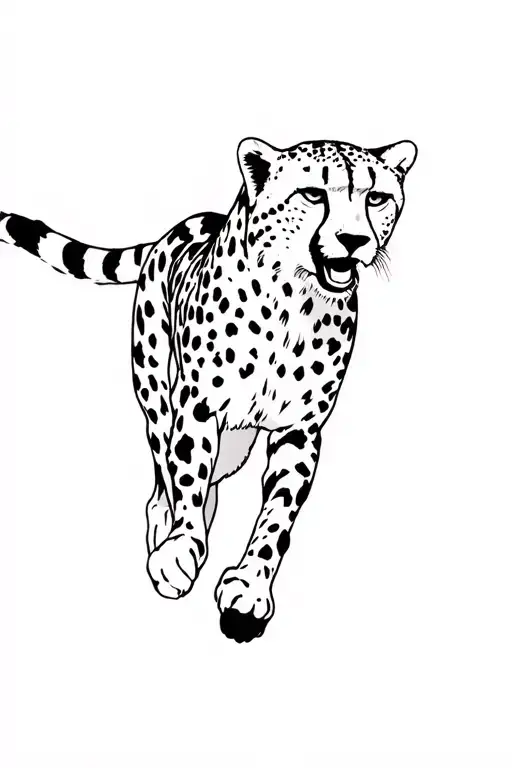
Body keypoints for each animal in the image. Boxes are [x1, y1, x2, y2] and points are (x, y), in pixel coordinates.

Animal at [0, 136, 417, 642]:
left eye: (376, 198)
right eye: (313, 194)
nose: (353, 240)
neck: (293, 303)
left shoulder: (300, 431)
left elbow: (277, 514)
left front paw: (250, 587)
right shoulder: (198, 409)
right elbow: (187, 478)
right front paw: (180, 548)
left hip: (234, 441)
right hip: (158, 396)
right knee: (164, 475)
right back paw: (166, 529)